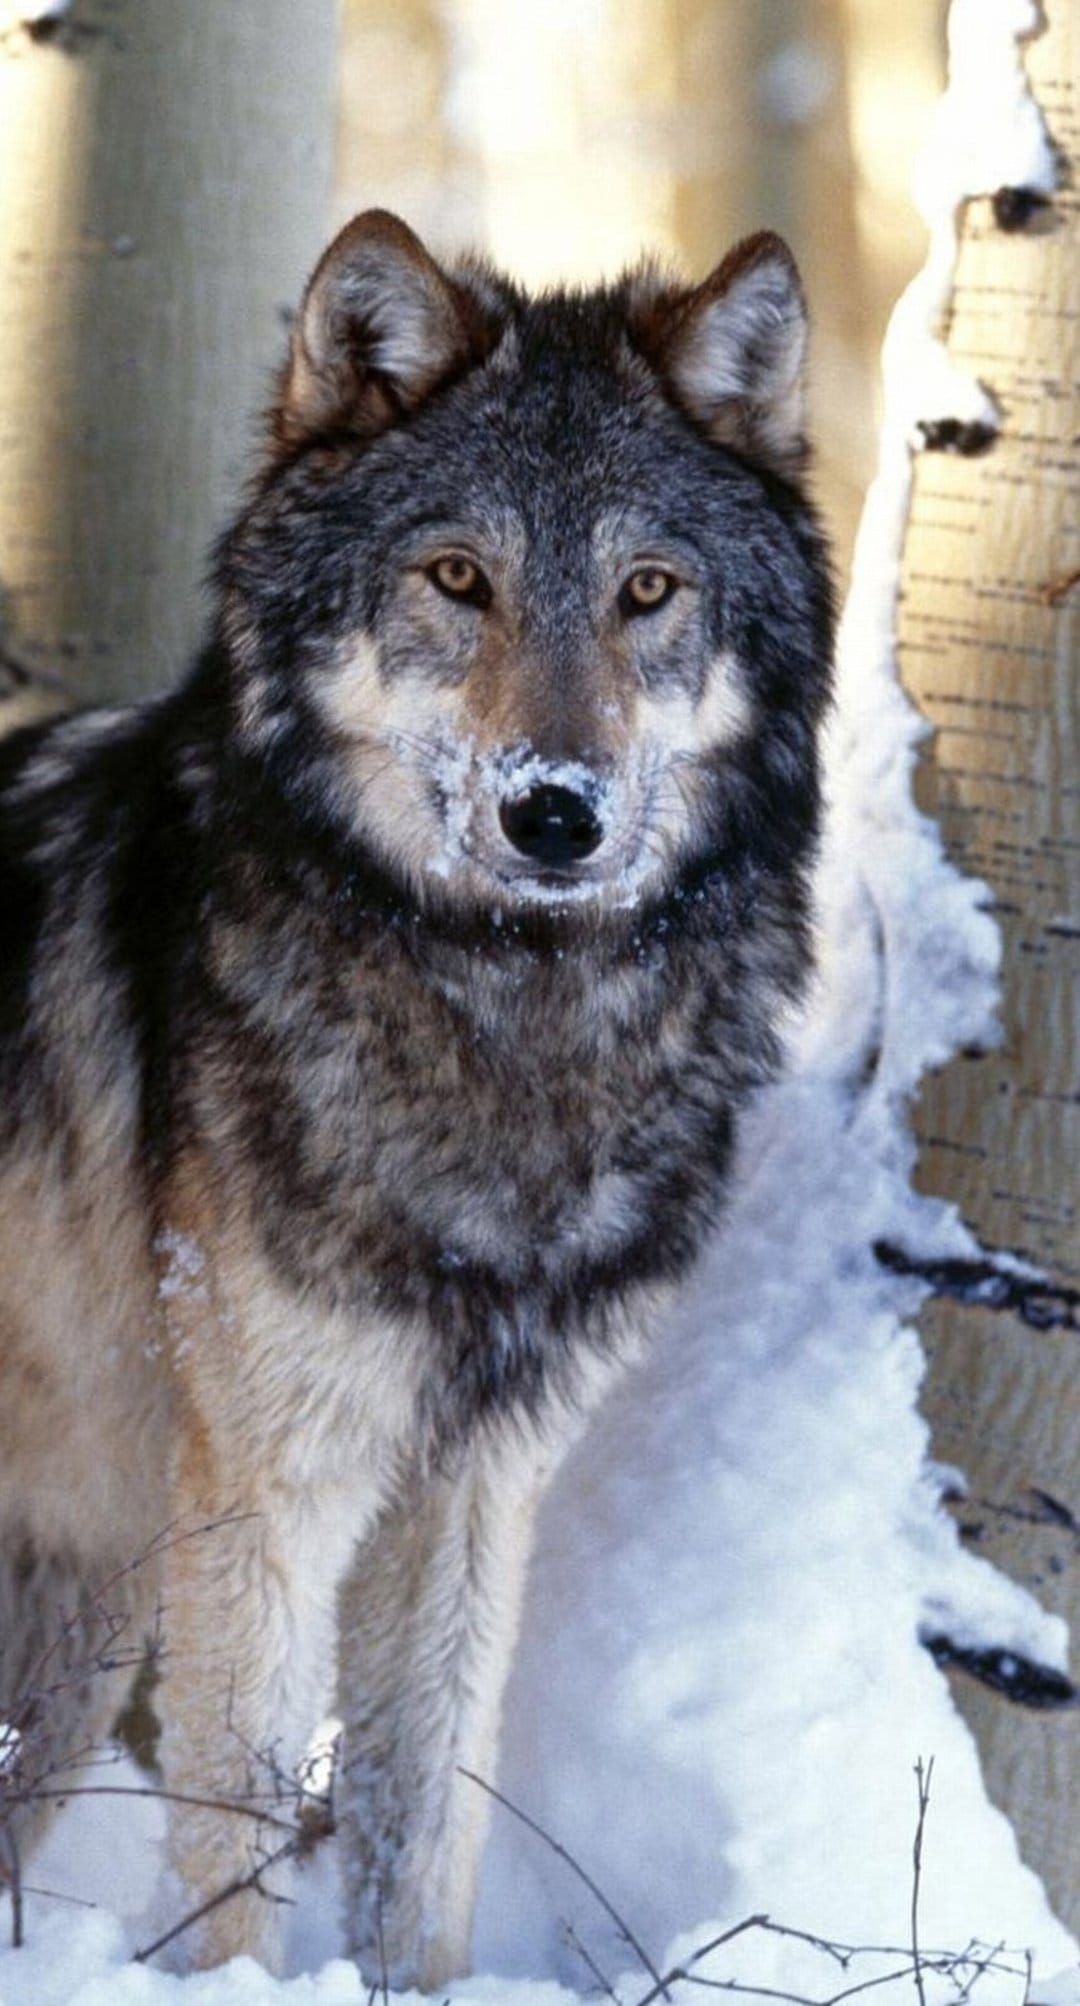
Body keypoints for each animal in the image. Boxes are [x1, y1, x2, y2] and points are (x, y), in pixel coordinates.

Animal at [0, 210, 832, 1985]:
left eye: (647, 590)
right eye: (459, 575)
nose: (555, 812)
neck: (509, 1018)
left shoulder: (474, 1488)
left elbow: (419, 1827)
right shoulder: (271, 1493)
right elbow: (239, 1845)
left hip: (87, 1613)